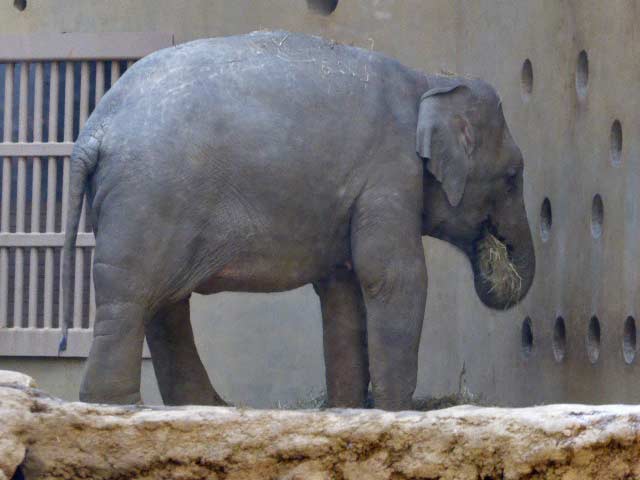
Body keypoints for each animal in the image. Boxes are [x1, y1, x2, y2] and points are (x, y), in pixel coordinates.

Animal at [62, 31, 536, 412]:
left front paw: (347, 409)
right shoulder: (389, 173)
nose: (497, 263)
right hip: (148, 199)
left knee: (163, 306)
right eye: (513, 175)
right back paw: (116, 405)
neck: (429, 80)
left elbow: (342, 289)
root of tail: (94, 129)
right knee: (131, 299)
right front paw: (398, 412)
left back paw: (202, 406)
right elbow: (392, 276)